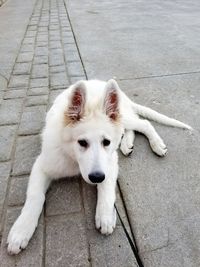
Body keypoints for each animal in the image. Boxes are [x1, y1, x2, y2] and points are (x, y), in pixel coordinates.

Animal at [7, 79, 191, 255]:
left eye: (106, 142)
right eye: (82, 142)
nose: (96, 177)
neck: (73, 159)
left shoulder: (110, 162)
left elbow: (106, 189)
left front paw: (105, 215)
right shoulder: (42, 165)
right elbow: (35, 196)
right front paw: (21, 230)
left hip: (123, 118)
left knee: (143, 123)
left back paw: (156, 144)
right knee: (129, 129)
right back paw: (127, 144)